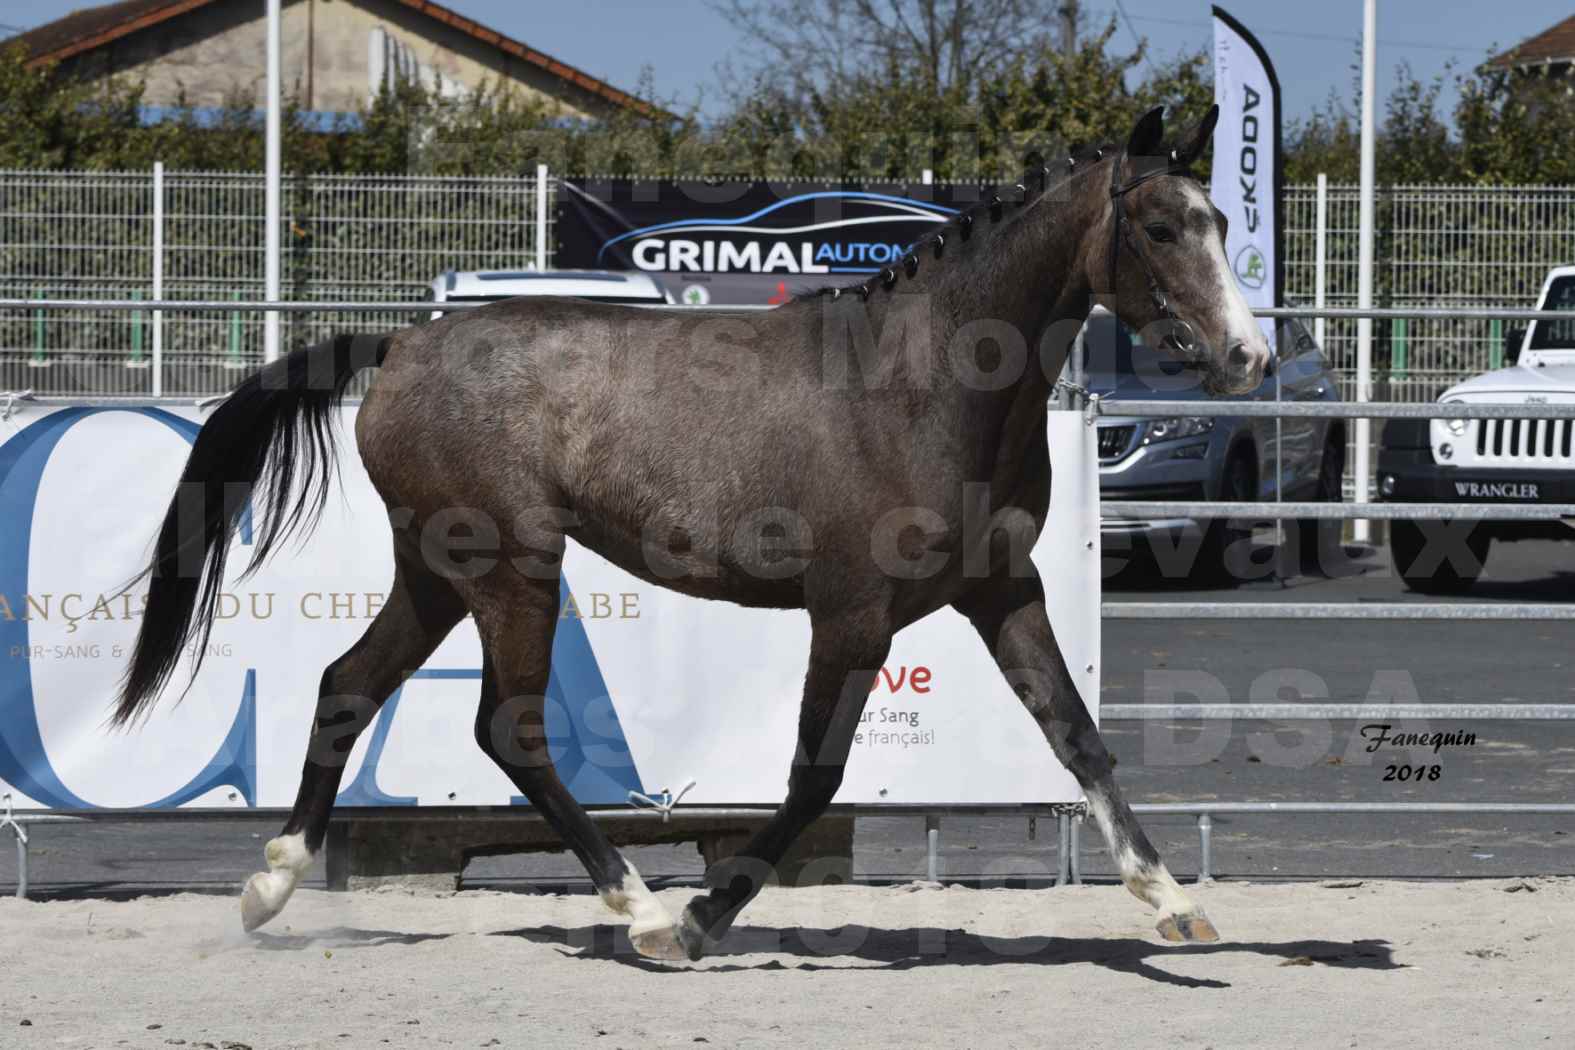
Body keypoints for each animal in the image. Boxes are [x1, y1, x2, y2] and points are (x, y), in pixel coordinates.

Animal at [114, 107, 1266, 963]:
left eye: (1219, 218)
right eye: (1161, 228)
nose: (1245, 357)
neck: (926, 383)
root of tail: (400, 347)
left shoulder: (1002, 588)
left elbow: (1077, 736)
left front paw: (1173, 905)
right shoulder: (851, 613)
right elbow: (813, 775)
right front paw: (710, 916)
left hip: (437, 573)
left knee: (348, 686)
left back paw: (269, 888)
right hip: (511, 569)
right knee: (508, 730)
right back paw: (646, 914)